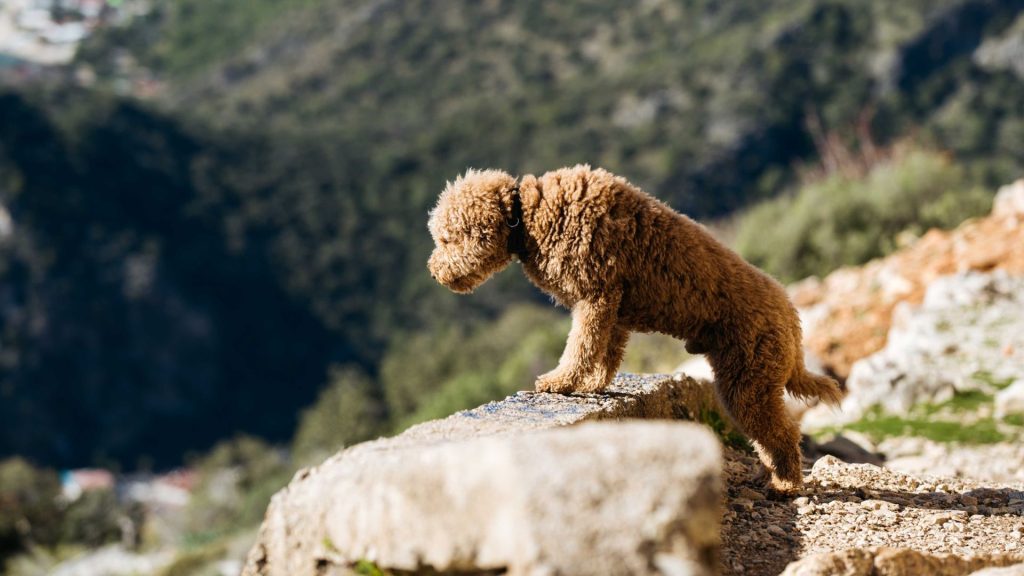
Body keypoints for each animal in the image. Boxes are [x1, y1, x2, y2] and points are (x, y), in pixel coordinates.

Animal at [425, 162, 839, 487]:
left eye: (445, 238)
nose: (432, 271)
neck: (527, 215)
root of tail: (791, 316)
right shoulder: (613, 308)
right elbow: (605, 354)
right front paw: (591, 385)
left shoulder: (594, 296)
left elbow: (580, 346)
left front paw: (560, 381)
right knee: (772, 435)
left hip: (748, 382)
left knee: (783, 433)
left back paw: (785, 485)